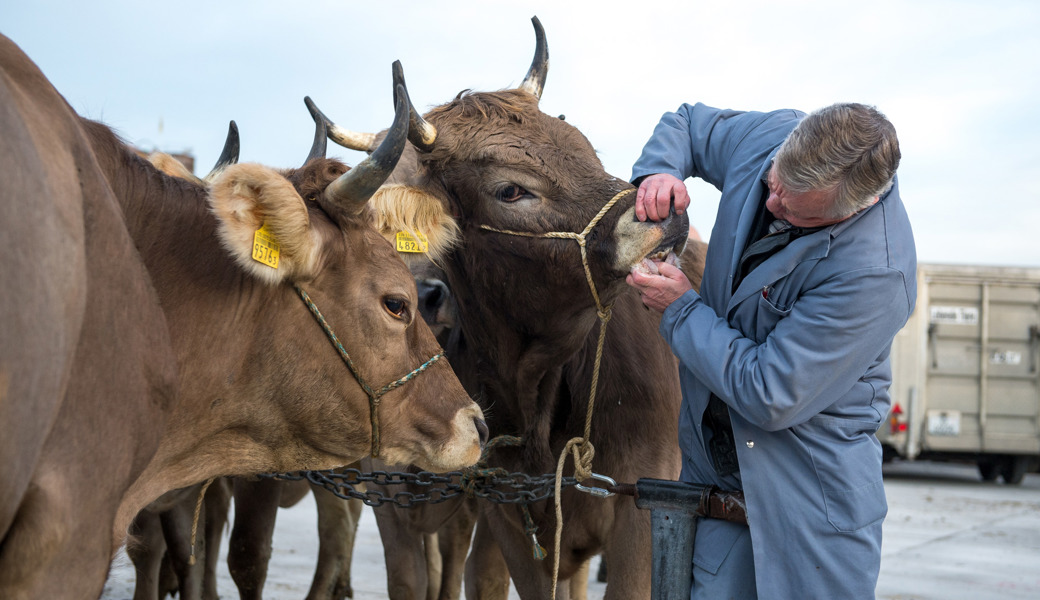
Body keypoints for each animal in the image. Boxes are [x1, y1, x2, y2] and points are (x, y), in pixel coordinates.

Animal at [312, 16, 707, 594]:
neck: (536, 391)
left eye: (587, 151)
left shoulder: (644, 503)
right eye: (511, 190)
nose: (667, 210)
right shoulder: (505, 516)